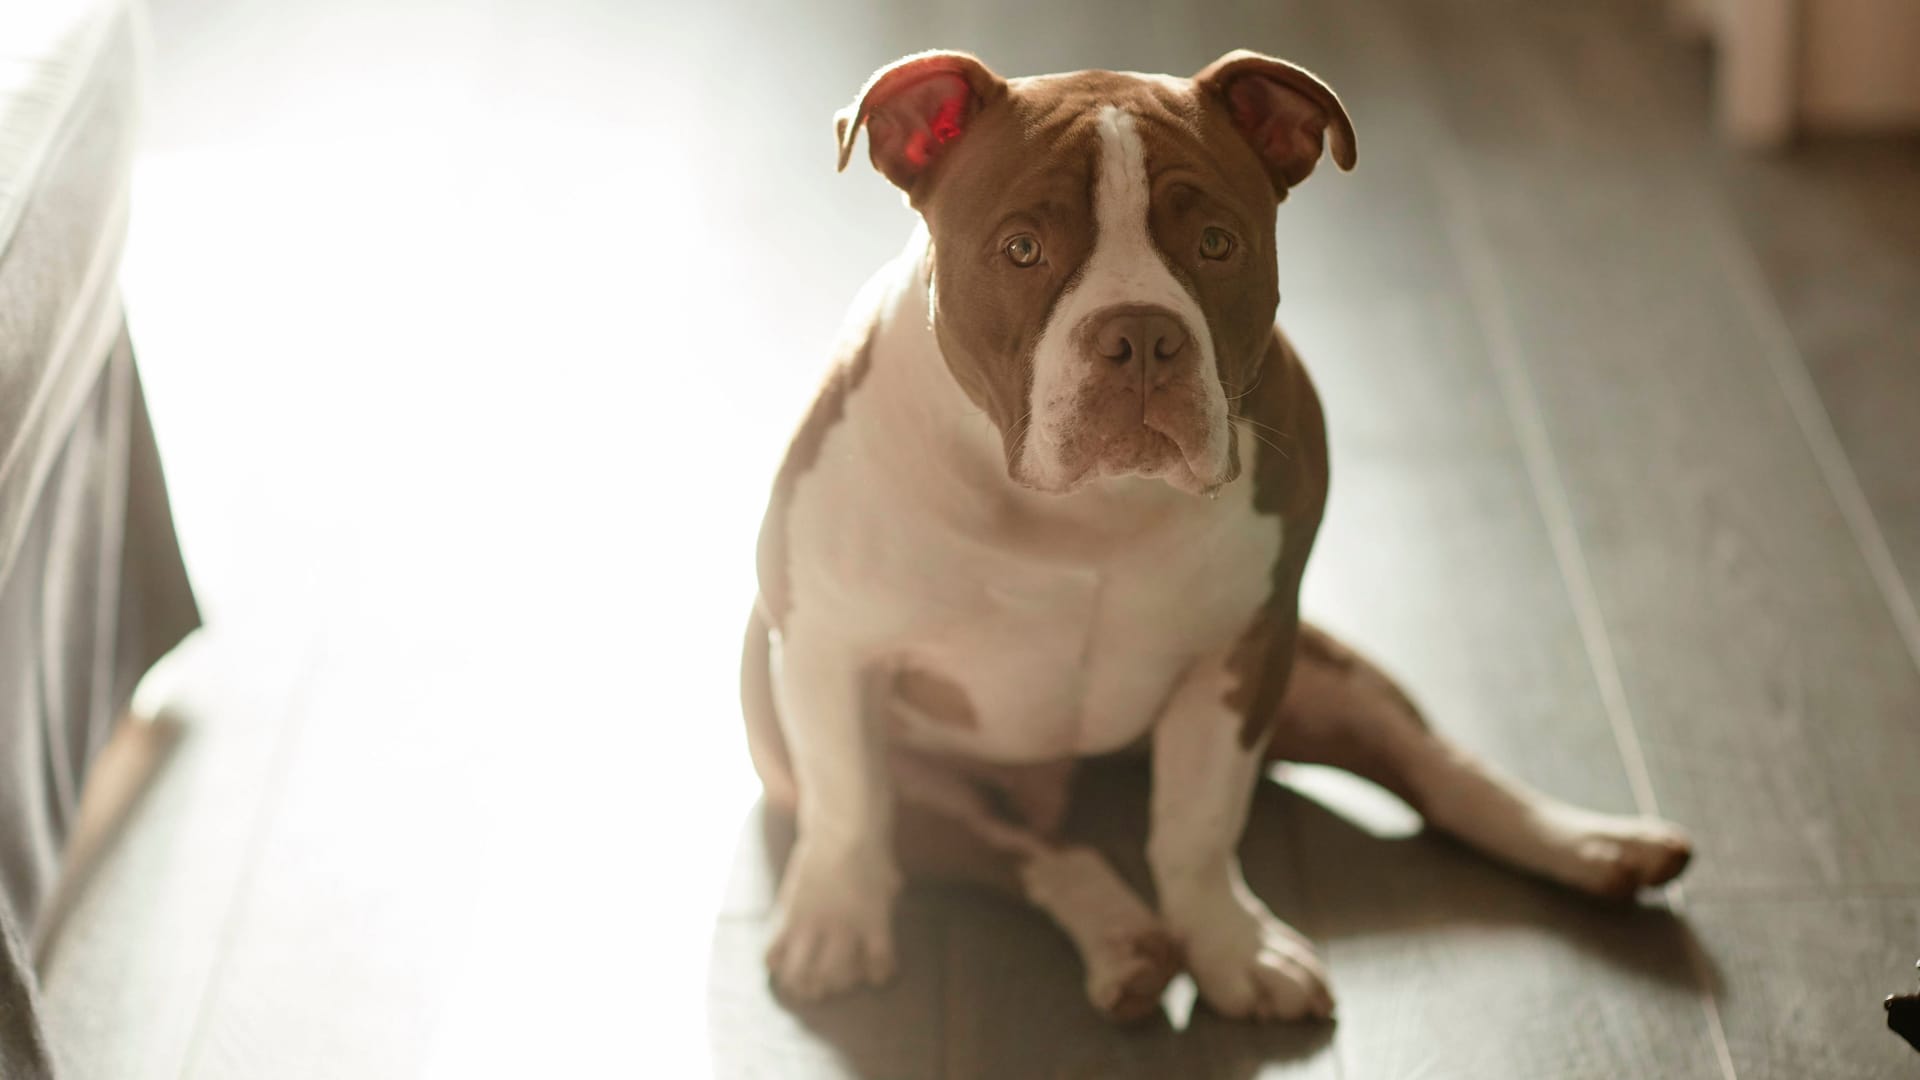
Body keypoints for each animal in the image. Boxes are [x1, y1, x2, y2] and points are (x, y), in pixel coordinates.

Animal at [741, 50, 1689, 1022]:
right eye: (1021, 250)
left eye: (1217, 245)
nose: (1140, 332)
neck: (1083, 513)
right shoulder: (827, 653)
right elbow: (850, 805)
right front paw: (834, 924)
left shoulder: (1243, 653)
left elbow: (1197, 829)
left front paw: (1233, 946)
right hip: (846, 751)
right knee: (1030, 852)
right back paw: (1118, 939)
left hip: (1322, 671)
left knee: (1435, 765)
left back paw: (1592, 843)